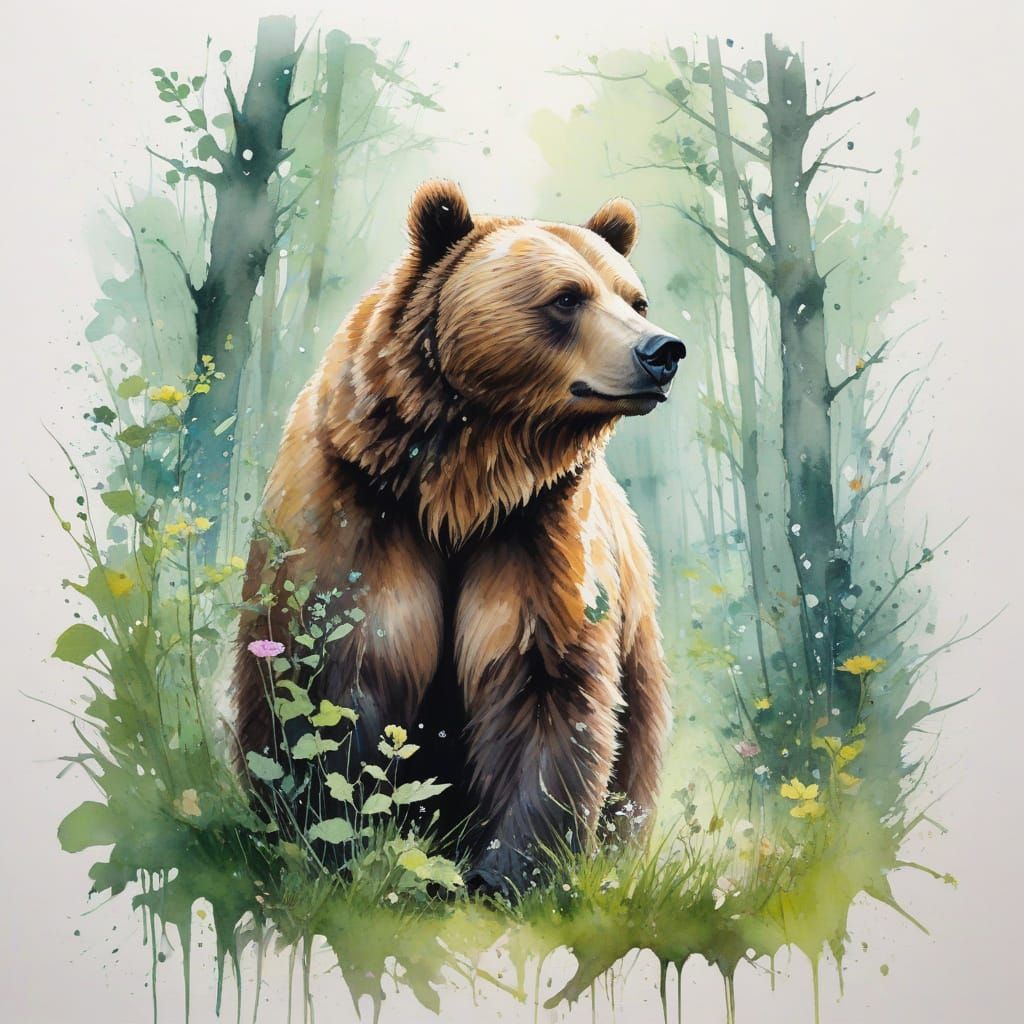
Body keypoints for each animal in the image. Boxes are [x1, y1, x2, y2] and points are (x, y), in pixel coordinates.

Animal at [232, 179, 686, 893]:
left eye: (635, 299)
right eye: (567, 297)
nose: (662, 352)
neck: (458, 491)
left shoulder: (535, 534)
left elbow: (544, 684)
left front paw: (509, 874)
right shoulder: (356, 515)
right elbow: (337, 679)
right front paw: (340, 848)